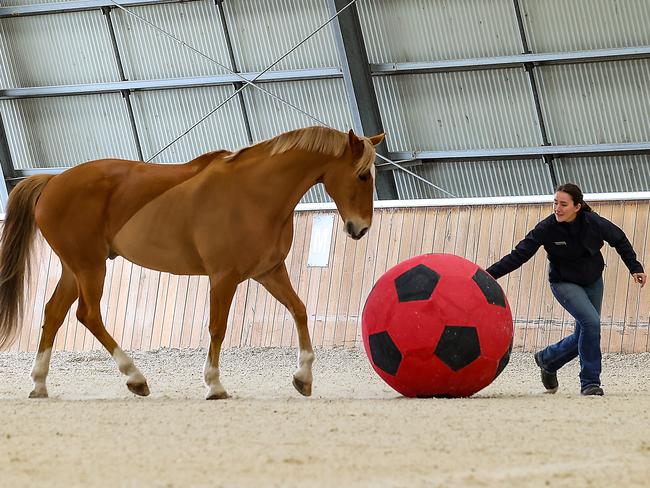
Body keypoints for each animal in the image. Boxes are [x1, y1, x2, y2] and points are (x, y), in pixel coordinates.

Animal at [0, 127, 382, 400]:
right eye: (363, 175)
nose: (360, 229)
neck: (256, 193)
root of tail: (53, 181)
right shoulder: (224, 277)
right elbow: (218, 328)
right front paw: (214, 386)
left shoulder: (268, 272)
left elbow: (300, 310)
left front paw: (303, 378)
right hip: (90, 267)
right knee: (88, 315)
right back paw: (135, 378)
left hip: (73, 269)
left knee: (53, 314)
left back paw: (39, 385)